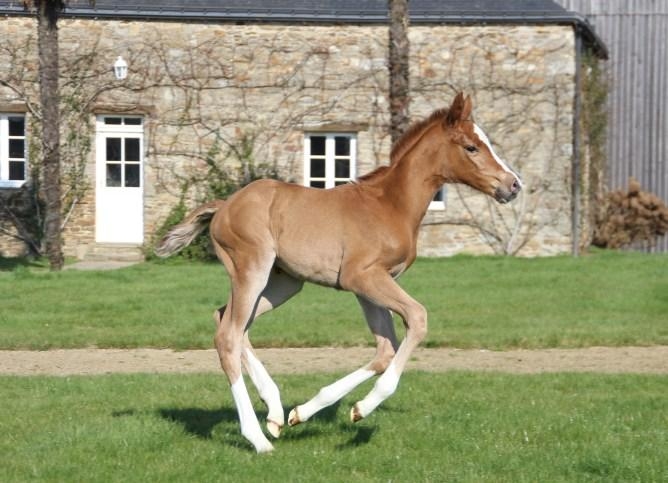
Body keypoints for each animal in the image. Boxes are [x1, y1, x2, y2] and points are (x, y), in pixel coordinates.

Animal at [155, 92, 522, 453]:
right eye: (471, 147)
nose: (514, 185)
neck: (391, 205)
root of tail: (224, 206)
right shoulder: (362, 278)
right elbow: (417, 319)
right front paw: (363, 407)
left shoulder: (369, 287)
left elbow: (385, 350)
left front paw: (305, 412)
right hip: (252, 268)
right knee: (228, 335)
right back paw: (257, 439)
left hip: (284, 282)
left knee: (227, 320)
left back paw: (274, 411)